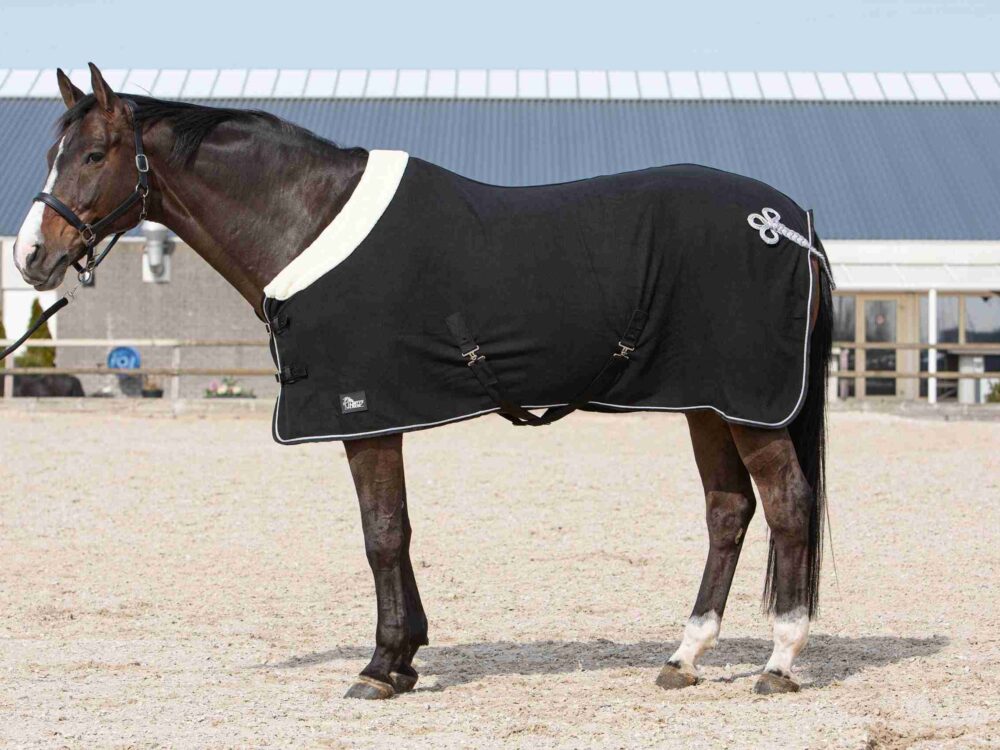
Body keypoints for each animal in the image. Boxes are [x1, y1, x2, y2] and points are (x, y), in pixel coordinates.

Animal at [11, 63, 833, 699]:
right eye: (54, 153)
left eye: (94, 154)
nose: (30, 257)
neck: (308, 222)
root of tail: (787, 221)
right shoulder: (380, 417)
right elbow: (397, 531)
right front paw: (404, 659)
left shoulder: (365, 415)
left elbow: (382, 533)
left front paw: (381, 665)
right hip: (708, 403)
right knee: (728, 512)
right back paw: (685, 656)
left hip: (748, 407)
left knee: (787, 504)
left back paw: (779, 661)